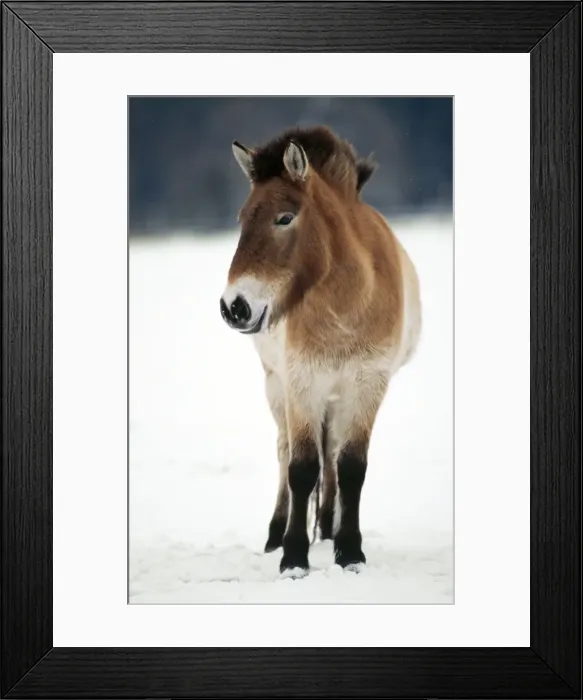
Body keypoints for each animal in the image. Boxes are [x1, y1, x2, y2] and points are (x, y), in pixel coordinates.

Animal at [220, 125, 421, 577]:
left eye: (285, 217)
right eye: (242, 219)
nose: (233, 306)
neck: (347, 303)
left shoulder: (368, 385)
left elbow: (351, 467)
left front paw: (350, 551)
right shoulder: (302, 383)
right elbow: (301, 468)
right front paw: (294, 557)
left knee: (331, 455)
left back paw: (328, 529)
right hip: (278, 387)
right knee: (285, 453)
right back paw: (276, 535)